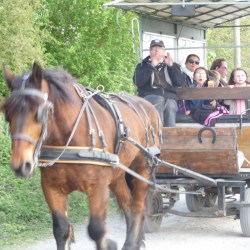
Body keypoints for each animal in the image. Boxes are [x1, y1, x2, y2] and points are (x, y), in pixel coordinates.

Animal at [1, 62, 161, 248]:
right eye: (7, 113)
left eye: (39, 113)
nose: (20, 165)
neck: (69, 139)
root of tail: (149, 106)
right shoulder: (51, 187)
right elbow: (61, 230)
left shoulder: (98, 188)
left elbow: (97, 230)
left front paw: (109, 243)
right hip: (118, 175)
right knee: (127, 204)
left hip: (142, 169)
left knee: (138, 208)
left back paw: (131, 243)